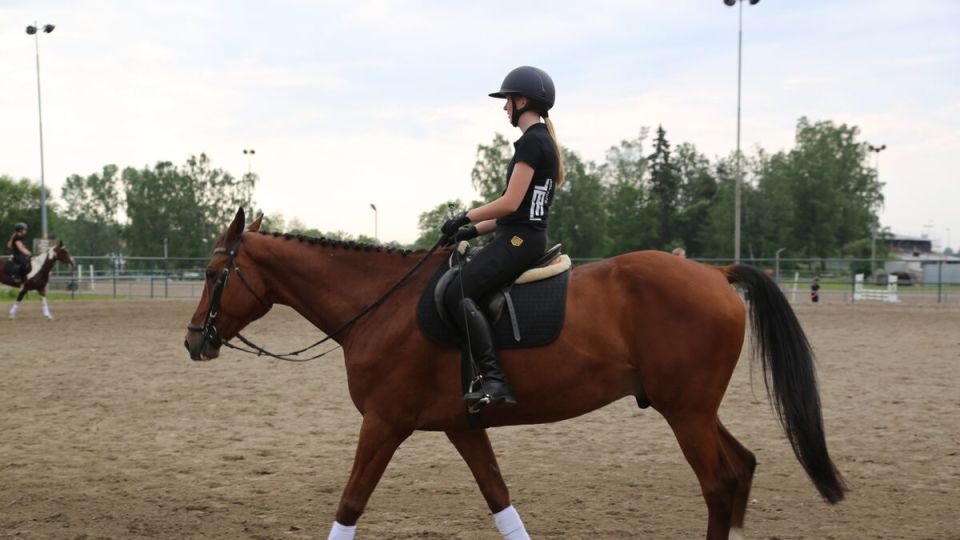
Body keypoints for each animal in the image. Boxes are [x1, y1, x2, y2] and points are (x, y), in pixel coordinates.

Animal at [184, 210, 844, 540]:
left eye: (215, 273)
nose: (194, 340)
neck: (382, 306)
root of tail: (713, 273)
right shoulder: (462, 425)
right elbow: (499, 499)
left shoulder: (384, 422)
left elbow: (349, 504)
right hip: (690, 408)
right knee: (741, 468)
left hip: (686, 413)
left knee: (719, 483)